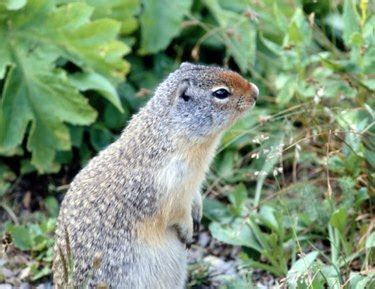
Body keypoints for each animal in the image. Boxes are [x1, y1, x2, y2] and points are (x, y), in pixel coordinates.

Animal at [52, 62, 258, 286]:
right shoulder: (171, 187)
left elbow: (195, 199)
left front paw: (198, 213)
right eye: (221, 93)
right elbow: (176, 212)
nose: (256, 92)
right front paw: (188, 231)